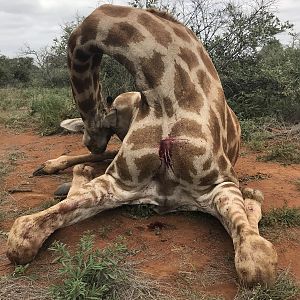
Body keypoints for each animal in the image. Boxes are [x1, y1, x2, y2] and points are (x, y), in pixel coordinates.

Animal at [5, 4, 276, 286]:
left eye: (104, 116)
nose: (89, 142)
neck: (166, 97)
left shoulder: (220, 184)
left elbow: (257, 262)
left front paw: (251, 200)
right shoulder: (118, 183)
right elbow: (22, 234)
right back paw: (59, 171)